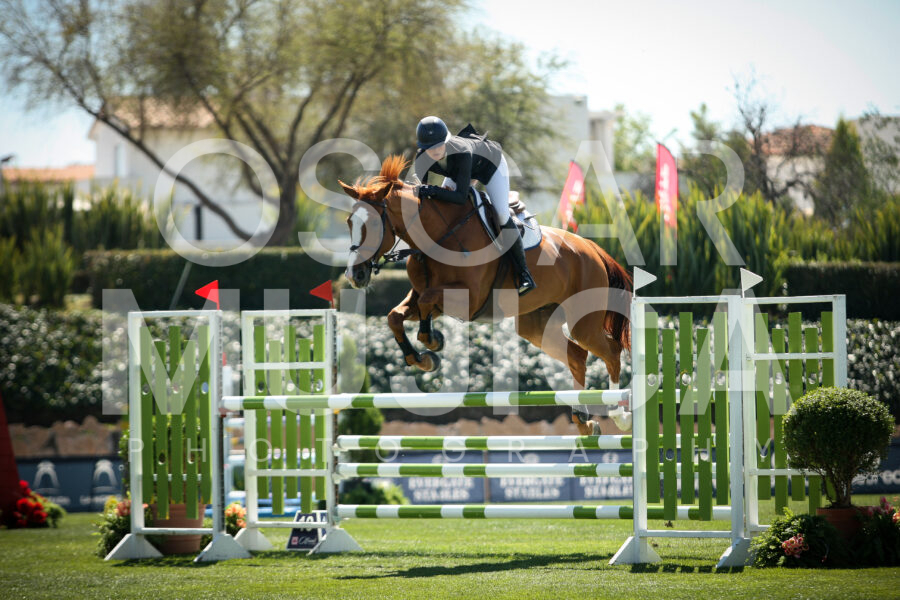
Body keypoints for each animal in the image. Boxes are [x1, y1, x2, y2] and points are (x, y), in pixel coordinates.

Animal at [339, 155, 633, 434]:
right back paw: (583, 421)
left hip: (584, 322)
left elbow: (424, 304)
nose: (355, 276)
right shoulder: (427, 295)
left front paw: (432, 341)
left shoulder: (468, 299)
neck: (437, 236)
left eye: (374, 225)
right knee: (577, 356)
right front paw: (424, 358)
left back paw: (620, 416)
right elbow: (395, 316)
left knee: (611, 352)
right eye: (349, 222)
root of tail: (593, 249)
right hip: (537, 325)